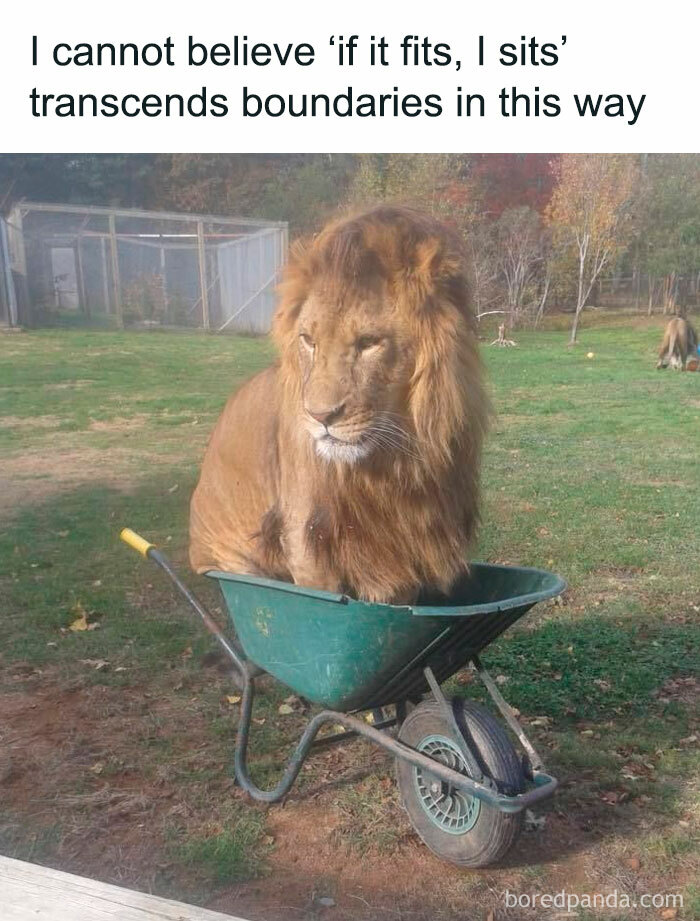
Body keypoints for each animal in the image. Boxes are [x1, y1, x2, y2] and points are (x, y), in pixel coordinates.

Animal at [189, 206, 489, 604]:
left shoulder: (402, 554)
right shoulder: (307, 540)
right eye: (308, 340)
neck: (390, 465)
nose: (320, 416)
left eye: (369, 342)